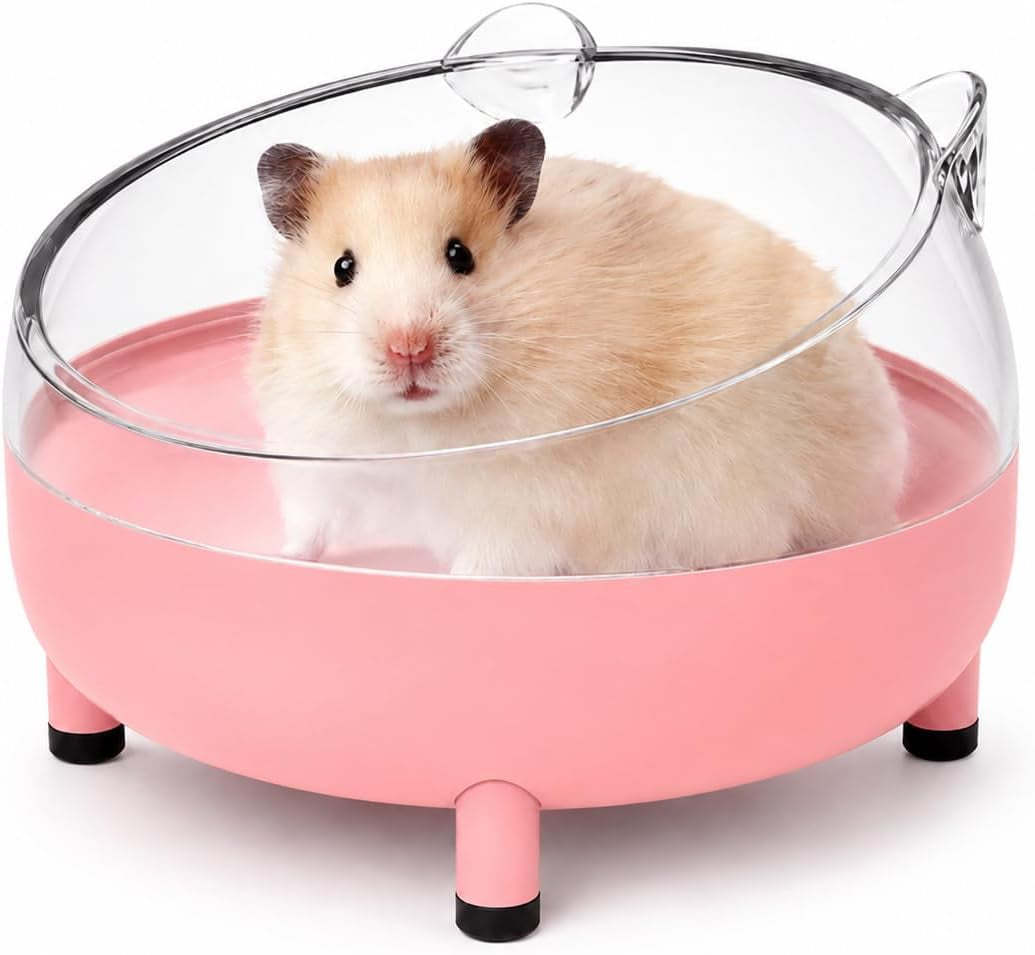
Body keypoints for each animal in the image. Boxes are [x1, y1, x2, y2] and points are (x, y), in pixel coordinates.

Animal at [250, 119, 908, 576]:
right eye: (343, 268)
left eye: (461, 255)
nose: (408, 349)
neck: (416, 429)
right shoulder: (317, 466)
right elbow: (309, 527)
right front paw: (282, 559)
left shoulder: (524, 511)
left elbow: (487, 563)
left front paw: (449, 584)